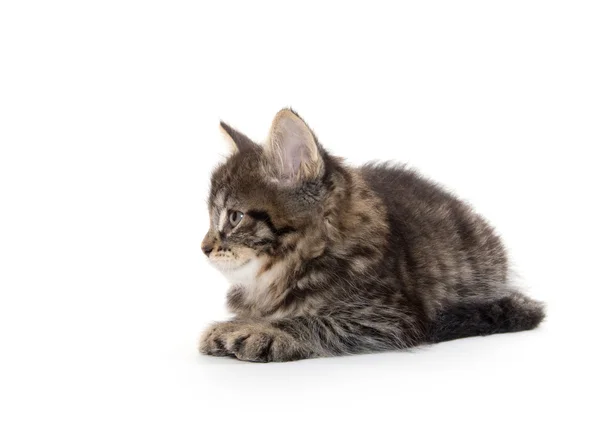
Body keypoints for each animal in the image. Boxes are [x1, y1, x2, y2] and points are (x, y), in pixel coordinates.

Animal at [199, 108, 548, 360]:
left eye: (234, 217)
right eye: (211, 217)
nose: (203, 247)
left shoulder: (391, 318)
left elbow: (310, 319)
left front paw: (256, 330)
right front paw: (242, 322)